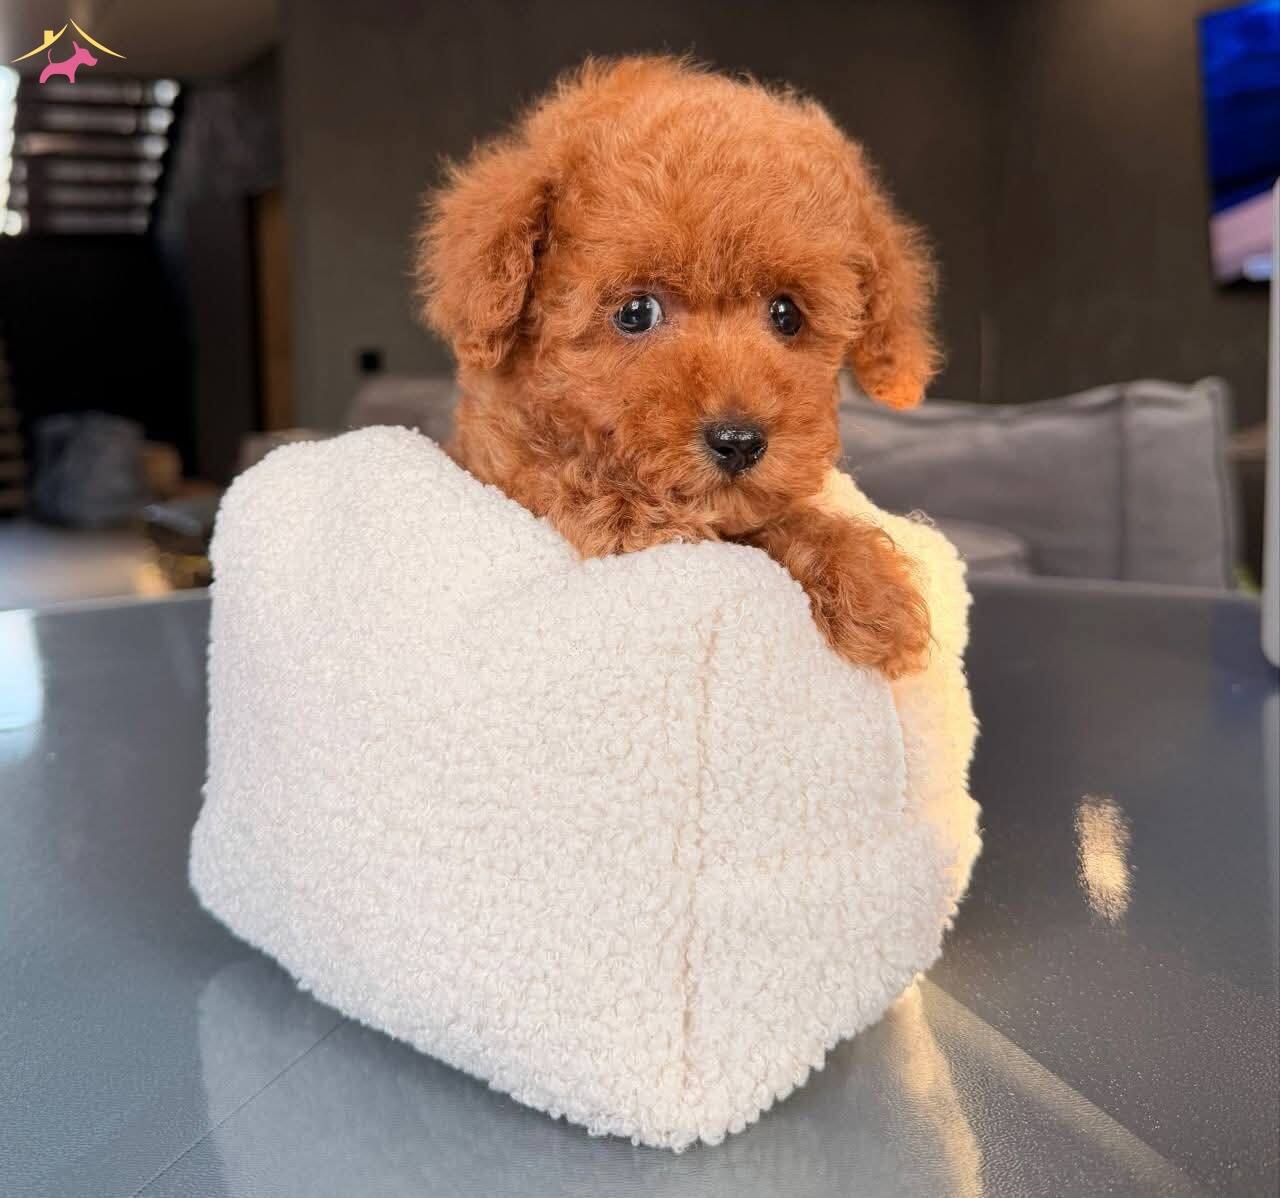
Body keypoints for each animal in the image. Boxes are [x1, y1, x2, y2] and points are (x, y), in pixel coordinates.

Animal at [417, 57, 935, 678]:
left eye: (787, 314)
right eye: (637, 312)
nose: (739, 441)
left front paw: (863, 581)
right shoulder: (511, 465)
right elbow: (563, 481)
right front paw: (632, 511)